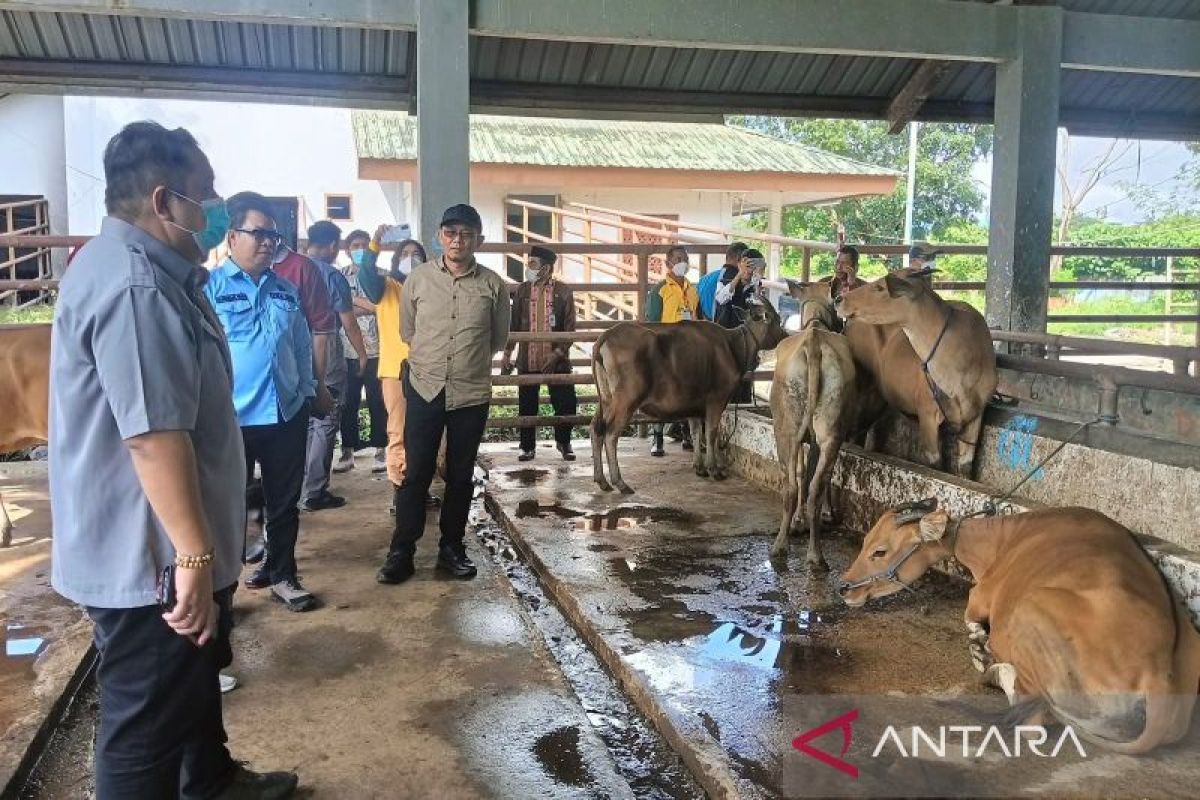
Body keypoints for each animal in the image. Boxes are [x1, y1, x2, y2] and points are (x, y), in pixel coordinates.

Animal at [590, 298, 787, 494]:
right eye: (776, 319)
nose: (785, 336)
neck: (732, 346)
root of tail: (606, 335)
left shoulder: (694, 404)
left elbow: (696, 432)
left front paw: (699, 467)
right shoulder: (717, 400)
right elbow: (711, 433)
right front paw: (714, 469)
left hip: (606, 399)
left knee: (596, 429)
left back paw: (602, 481)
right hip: (626, 401)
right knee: (610, 434)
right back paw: (620, 482)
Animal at [768, 281, 854, 568]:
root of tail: (814, 343)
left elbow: (803, 471)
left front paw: (798, 522)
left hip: (787, 429)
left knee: (792, 485)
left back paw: (784, 546)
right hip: (827, 427)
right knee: (812, 485)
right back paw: (814, 553)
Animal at [835, 272, 993, 479]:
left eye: (880, 287)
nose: (838, 299)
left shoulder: (975, 417)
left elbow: (965, 467)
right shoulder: (927, 415)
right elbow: (935, 464)